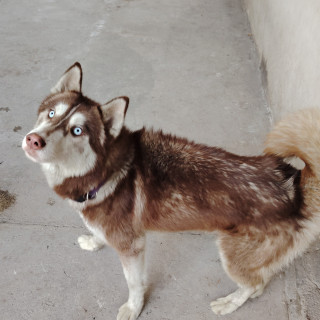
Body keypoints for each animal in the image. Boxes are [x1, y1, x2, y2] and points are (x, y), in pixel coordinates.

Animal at [22, 62, 320, 318]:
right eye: (52, 113)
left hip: (232, 254)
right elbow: (98, 233)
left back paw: (229, 303)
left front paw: (133, 308)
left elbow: (134, 284)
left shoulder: (132, 247)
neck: (105, 171)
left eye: (77, 130)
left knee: (254, 284)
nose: (33, 140)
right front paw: (94, 240)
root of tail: (293, 188)